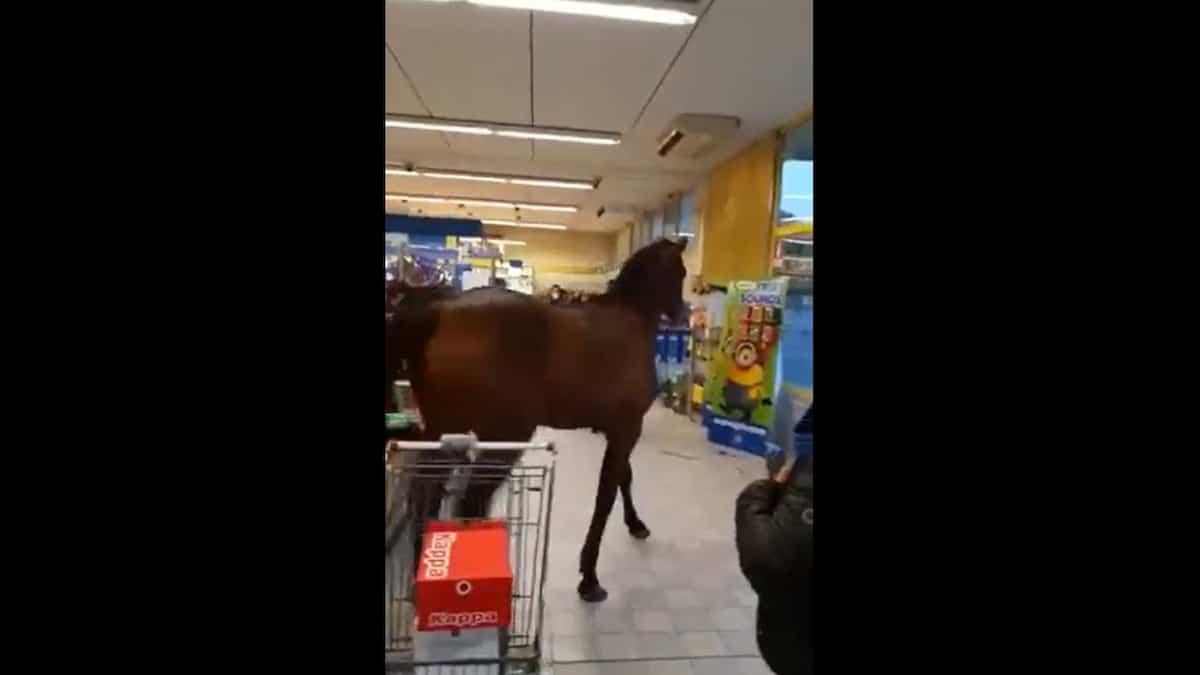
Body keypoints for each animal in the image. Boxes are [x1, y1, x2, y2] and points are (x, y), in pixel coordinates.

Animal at [385, 238, 688, 602]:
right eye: (680, 272)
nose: (682, 315)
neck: (628, 319)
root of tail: (440, 310)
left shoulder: (613, 428)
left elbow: (623, 479)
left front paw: (636, 524)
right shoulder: (627, 428)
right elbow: (606, 495)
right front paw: (589, 577)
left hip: (446, 432)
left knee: (425, 491)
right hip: (500, 437)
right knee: (470, 500)